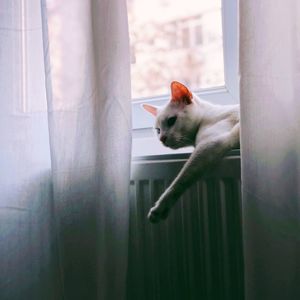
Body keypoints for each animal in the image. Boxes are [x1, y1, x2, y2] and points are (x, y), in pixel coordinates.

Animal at [142, 81, 239, 223]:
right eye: (158, 130)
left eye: (171, 120)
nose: (162, 139)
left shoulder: (208, 145)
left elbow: (179, 181)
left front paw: (158, 209)